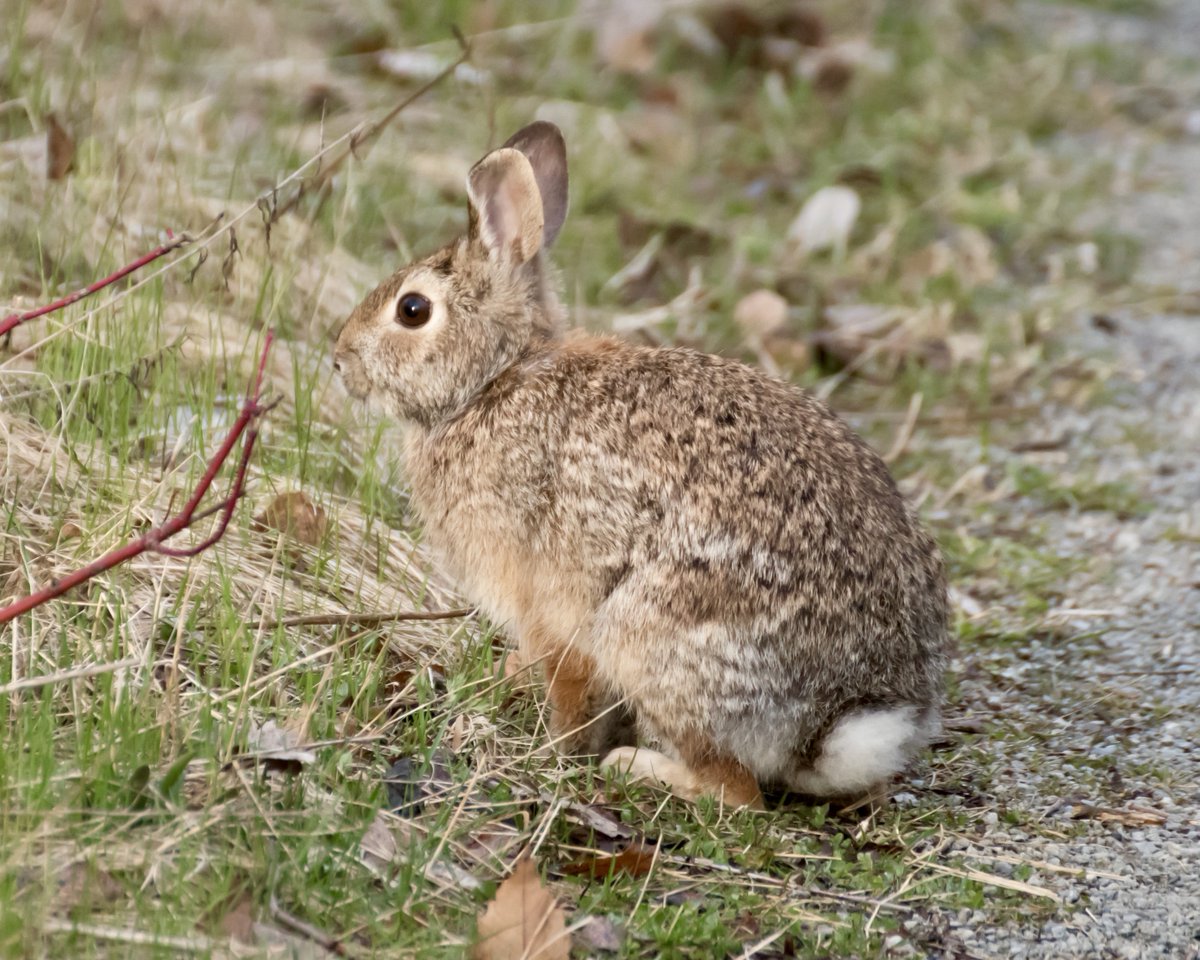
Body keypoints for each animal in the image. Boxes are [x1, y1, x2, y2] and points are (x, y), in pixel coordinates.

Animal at [333, 121, 948, 810]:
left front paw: (556, 752)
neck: (495, 379)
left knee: (736, 790)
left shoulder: (549, 605)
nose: (338, 360)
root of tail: (834, 719)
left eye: (412, 310)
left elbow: (568, 688)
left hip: (652, 637)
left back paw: (636, 766)